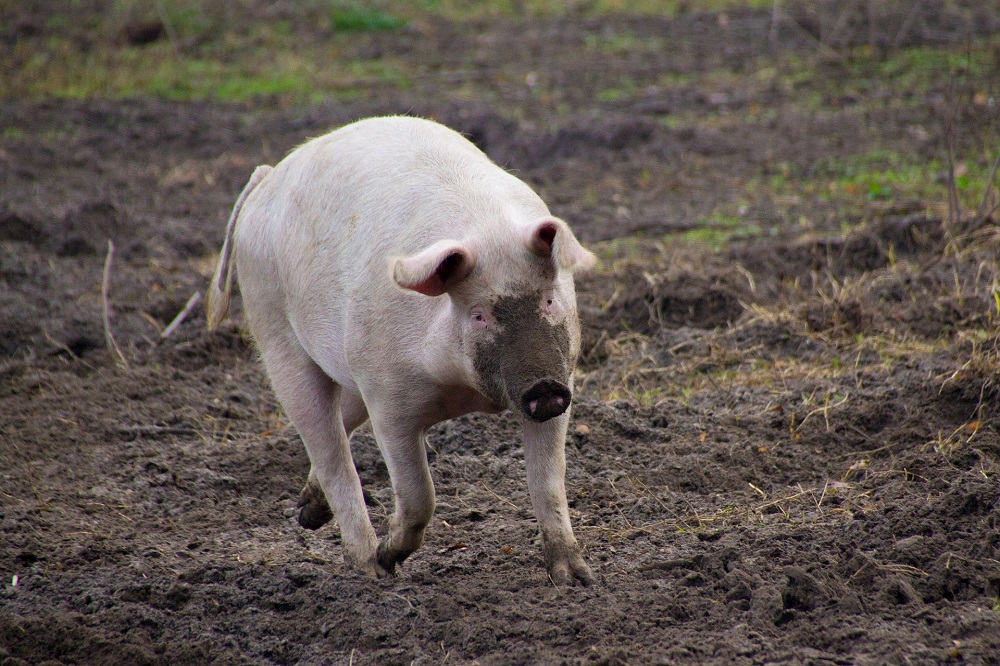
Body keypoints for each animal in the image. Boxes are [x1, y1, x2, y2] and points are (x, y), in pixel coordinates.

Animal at [203, 116, 592, 584]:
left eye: (550, 299)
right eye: (479, 314)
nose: (544, 387)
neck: (462, 389)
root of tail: (268, 177)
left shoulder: (562, 378)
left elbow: (549, 482)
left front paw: (578, 579)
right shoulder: (389, 402)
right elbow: (420, 492)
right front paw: (390, 558)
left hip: (349, 366)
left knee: (342, 422)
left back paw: (309, 514)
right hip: (275, 331)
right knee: (331, 454)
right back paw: (369, 566)